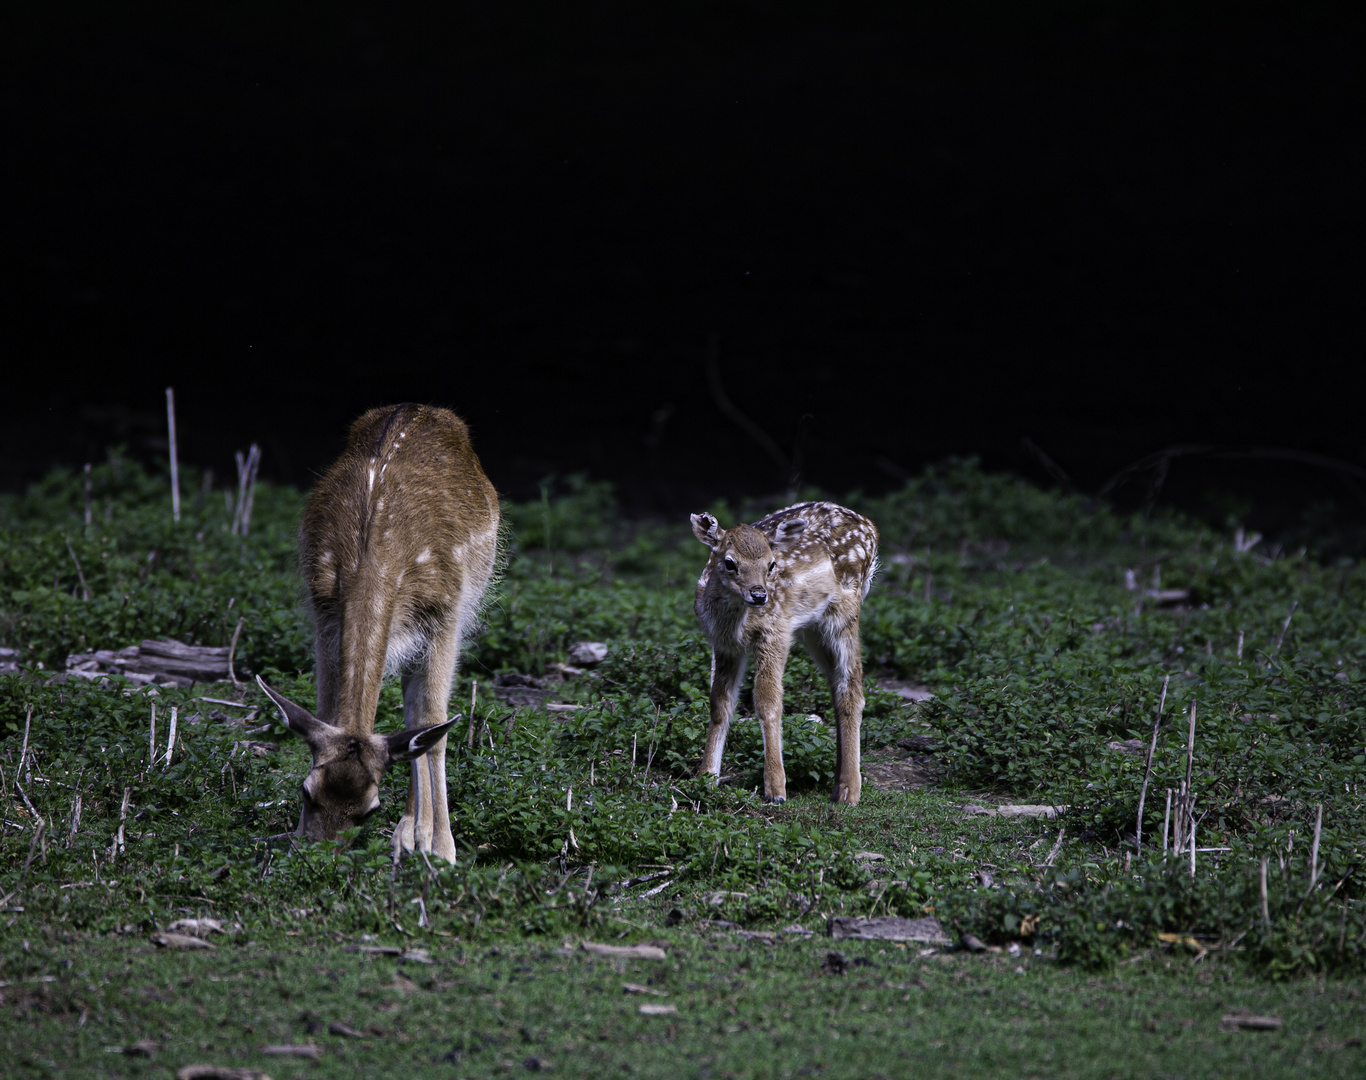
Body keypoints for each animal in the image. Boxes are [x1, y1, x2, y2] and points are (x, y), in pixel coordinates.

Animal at [254, 404, 499, 862]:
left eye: (370, 810)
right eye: (306, 791)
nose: (317, 857)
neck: (375, 555)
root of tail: (421, 407)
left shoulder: (447, 613)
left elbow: (434, 724)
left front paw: (442, 849)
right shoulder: (323, 608)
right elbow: (327, 708)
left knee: (420, 718)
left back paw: (417, 835)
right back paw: (409, 832)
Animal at [688, 499, 879, 802]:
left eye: (771, 564)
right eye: (730, 563)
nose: (759, 595)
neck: (735, 624)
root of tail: (870, 526)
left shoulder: (775, 630)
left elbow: (768, 701)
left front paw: (776, 788)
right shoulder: (723, 644)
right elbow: (719, 704)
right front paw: (705, 778)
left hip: (845, 611)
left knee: (852, 689)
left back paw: (849, 791)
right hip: (813, 630)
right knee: (837, 685)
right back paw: (837, 785)